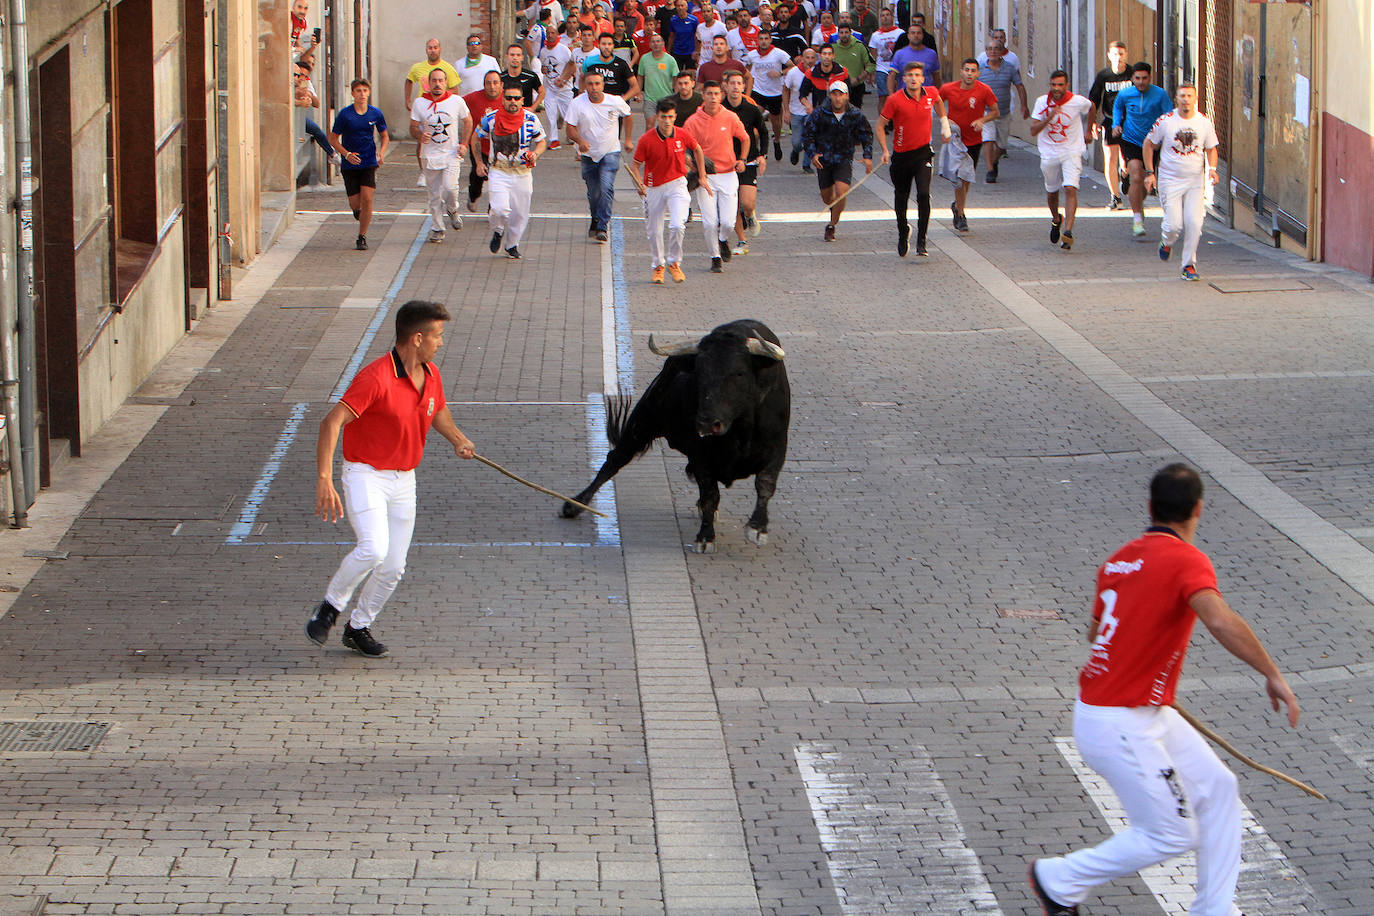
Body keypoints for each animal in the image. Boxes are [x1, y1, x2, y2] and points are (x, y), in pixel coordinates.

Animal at [560, 321, 796, 552]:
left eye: (738, 372)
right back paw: (574, 504)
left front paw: (757, 528)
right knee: (615, 460)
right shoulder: (701, 455)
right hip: (642, 421)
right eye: (699, 373)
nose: (707, 422)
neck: (739, 430)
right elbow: (710, 494)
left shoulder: (777, 450)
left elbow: (765, 485)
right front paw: (705, 537)